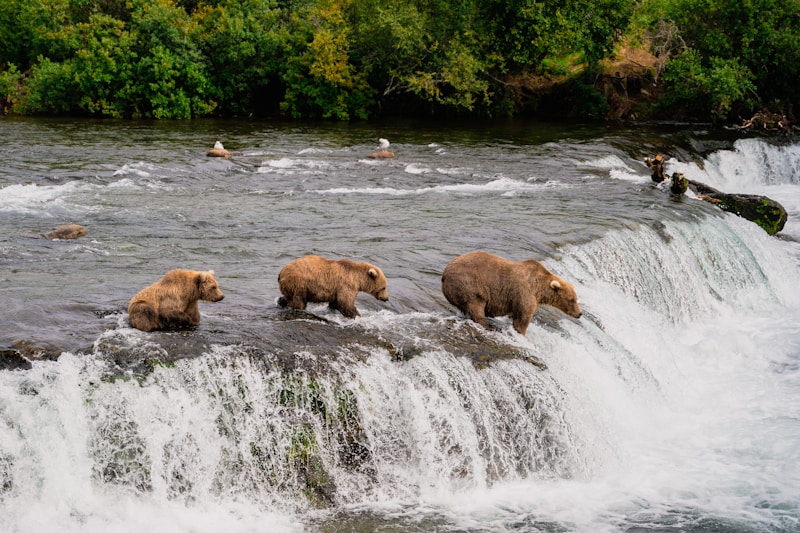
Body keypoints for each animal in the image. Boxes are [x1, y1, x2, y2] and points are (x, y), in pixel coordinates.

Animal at [441, 250, 582, 335]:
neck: (539, 289)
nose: (580, 313)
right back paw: (488, 326)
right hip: (469, 285)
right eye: (572, 300)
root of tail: (444, 274)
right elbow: (523, 318)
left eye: (576, 298)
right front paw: (521, 332)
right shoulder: (524, 292)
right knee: (476, 306)